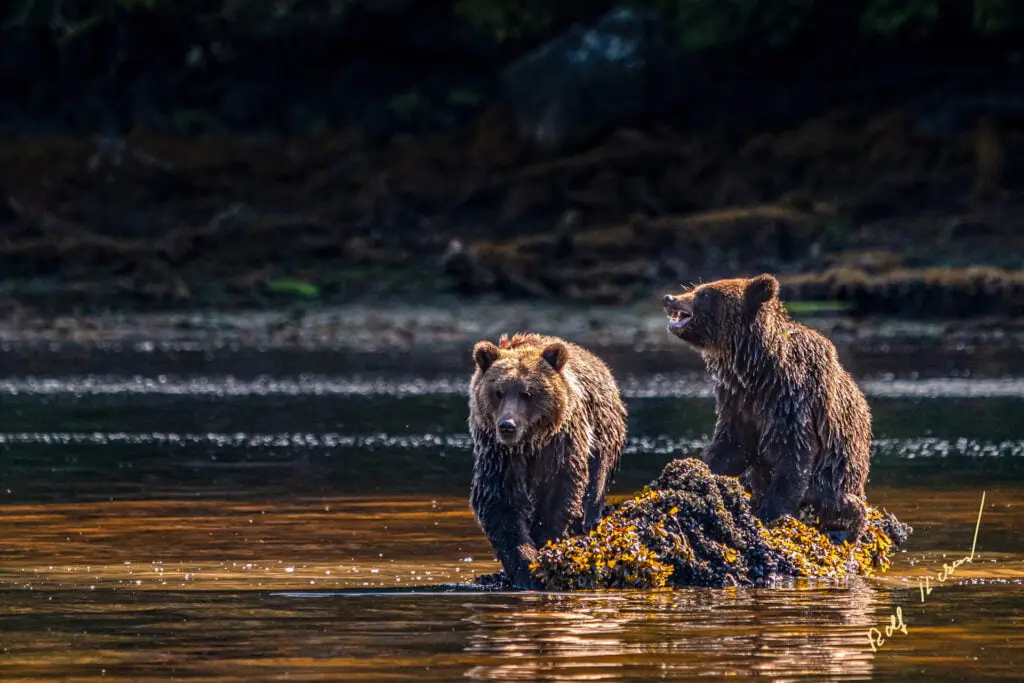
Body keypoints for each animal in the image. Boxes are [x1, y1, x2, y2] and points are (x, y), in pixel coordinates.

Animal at [468, 332, 628, 588]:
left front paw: (545, 548)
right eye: (498, 392)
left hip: (603, 434)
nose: (507, 425)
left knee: (595, 483)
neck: (529, 444)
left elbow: (559, 495)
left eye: (527, 393)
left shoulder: (560, 447)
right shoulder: (499, 456)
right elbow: (499, 505)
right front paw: (524, 565)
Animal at [662, 273, 872, 541]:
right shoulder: (738, 404)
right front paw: (694, 473)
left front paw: (769, 516)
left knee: (838, 500)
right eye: (697, 288)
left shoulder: (793, 404)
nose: (670, 298)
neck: (758, 372)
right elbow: (731, 448)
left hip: (841, 471)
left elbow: (793, 462)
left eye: (705, 293)